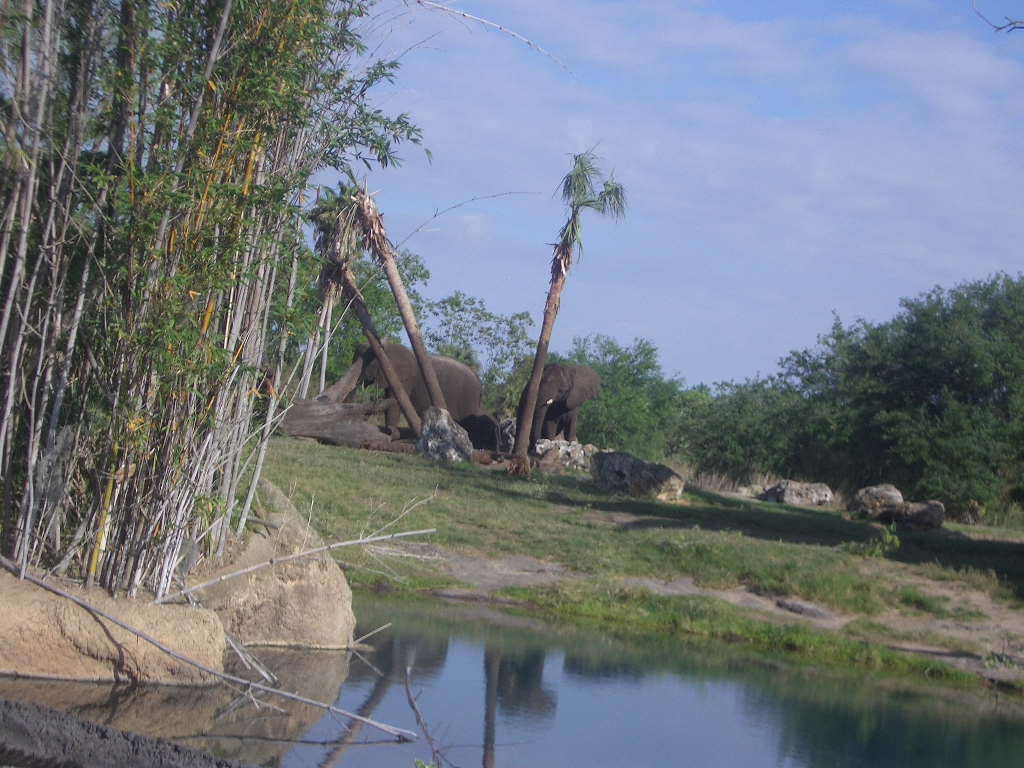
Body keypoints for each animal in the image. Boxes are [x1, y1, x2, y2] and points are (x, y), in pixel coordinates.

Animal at [327, 342, 499, 449]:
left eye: (366, 363)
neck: (387, 348)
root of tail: (481, 387)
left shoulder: (405, 378)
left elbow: (395, 403)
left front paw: (391, 434)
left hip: (467, 399)